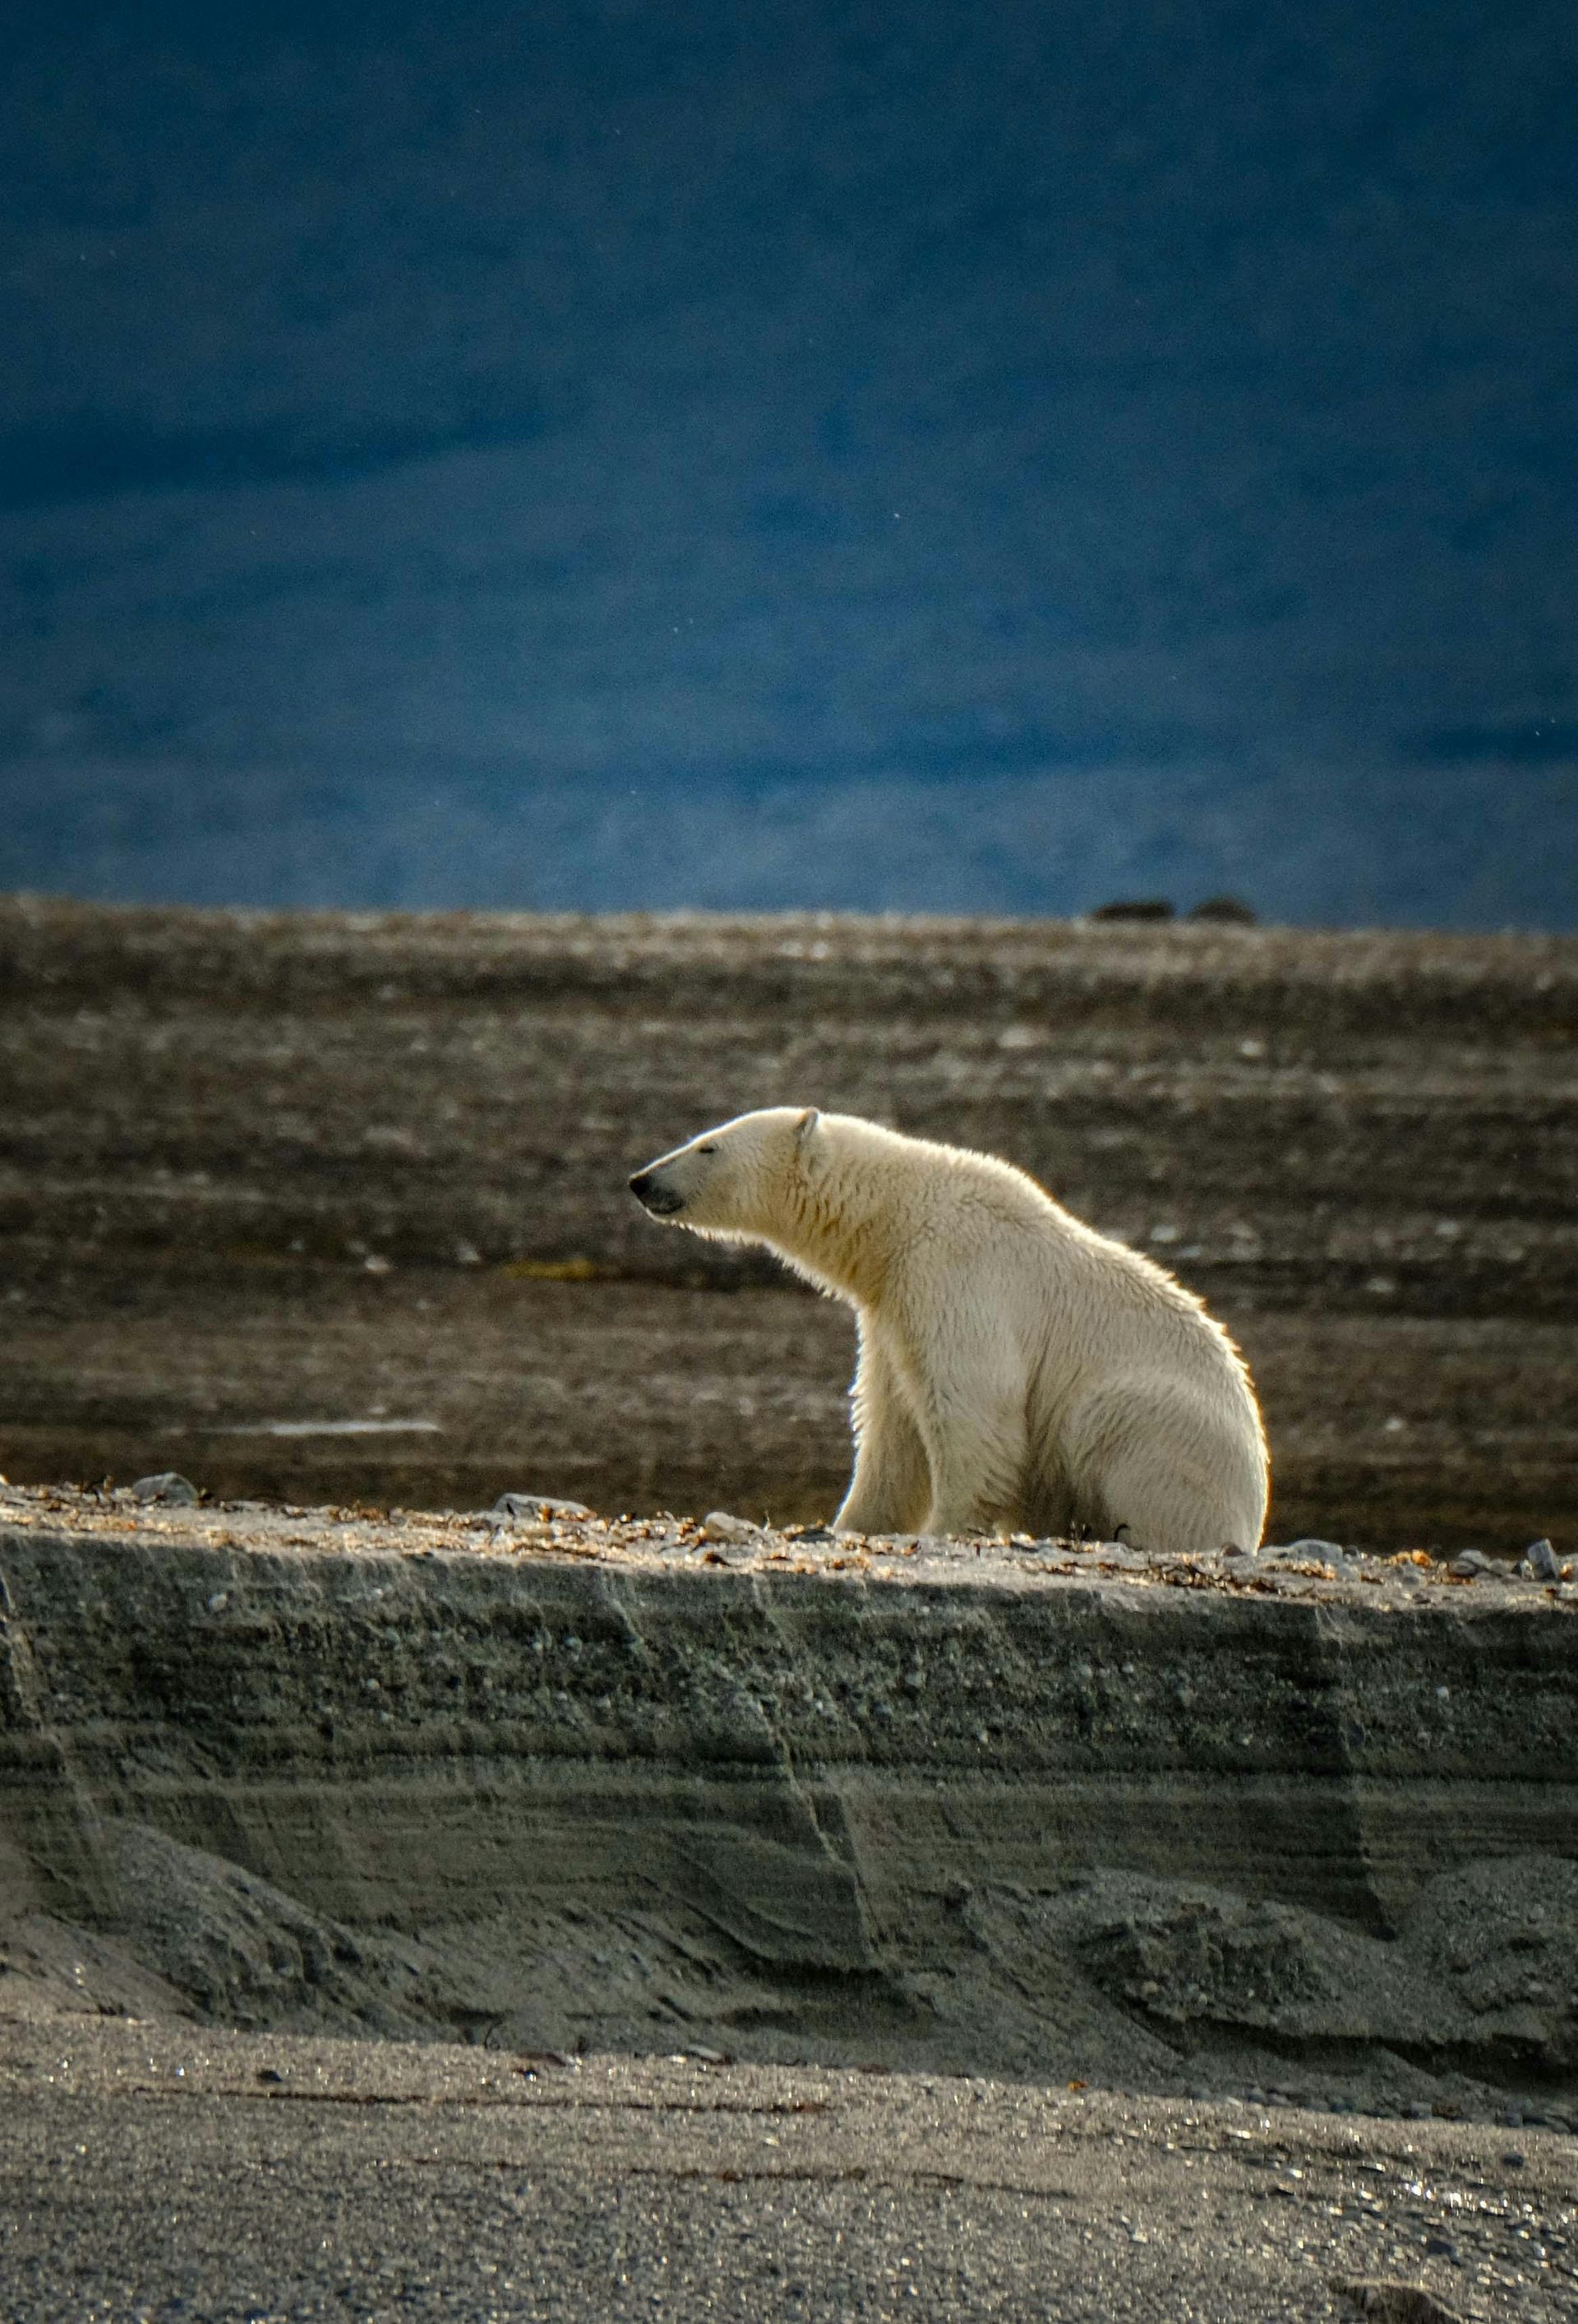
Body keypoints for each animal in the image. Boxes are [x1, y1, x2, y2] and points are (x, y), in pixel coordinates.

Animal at [627, 1111, 1273, 1552]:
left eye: (708, 1145)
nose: (641, 1180)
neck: (898, 1217)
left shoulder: (956, 1277)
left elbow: (972, 1413)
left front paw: (946, 1527)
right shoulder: (890, 1310)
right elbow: (891, 1430)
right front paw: (848, 1523)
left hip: (1165, 1425)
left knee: (1115, 1427)